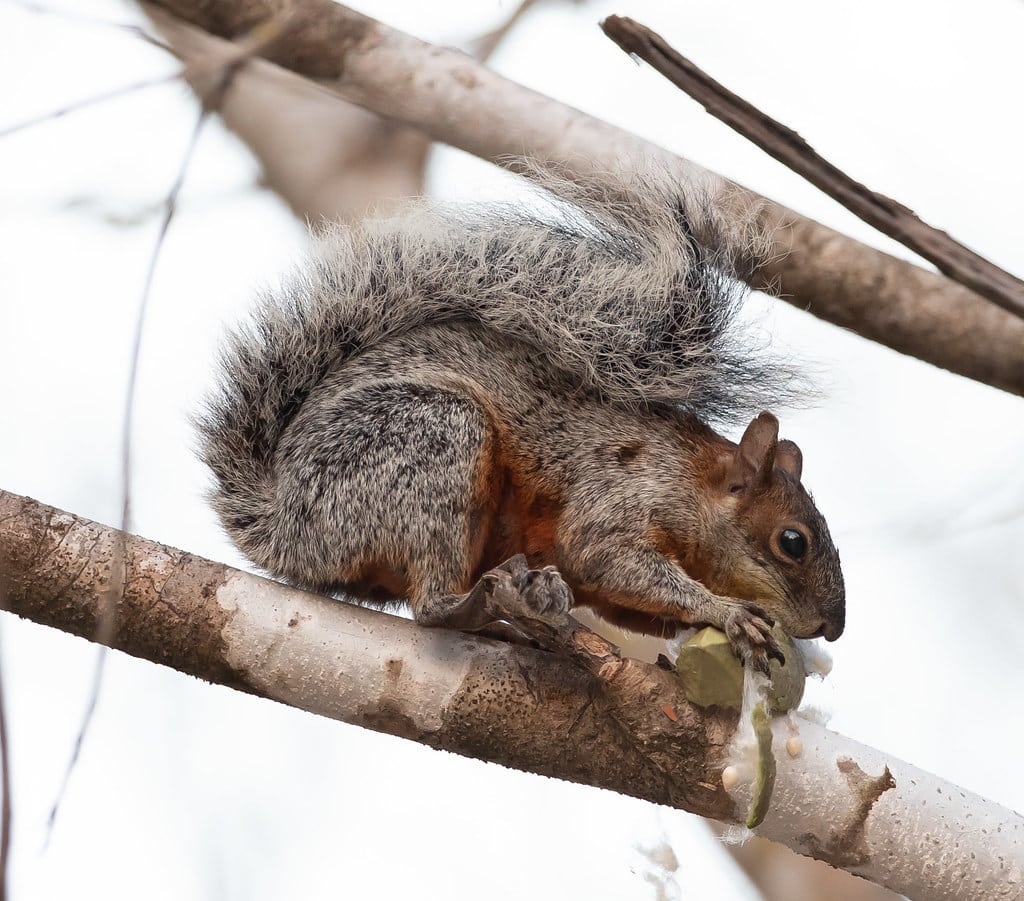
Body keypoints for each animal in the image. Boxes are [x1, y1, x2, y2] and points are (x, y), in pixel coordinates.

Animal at [199, 163, 845, 671]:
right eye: (793, 541)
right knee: (430, 607)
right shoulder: (620, 495)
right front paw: (726, 610)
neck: (692, 478)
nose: (833, 628)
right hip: (431, 438)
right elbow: (609, 556)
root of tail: (281, 525)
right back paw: (480, 608)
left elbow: (621, 599)